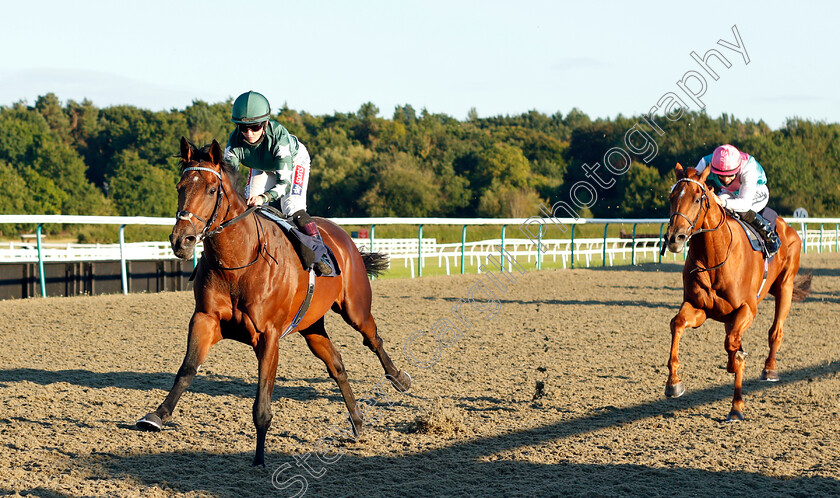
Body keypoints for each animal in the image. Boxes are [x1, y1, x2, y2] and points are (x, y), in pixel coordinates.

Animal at [138, 137, 414, 466]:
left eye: (212, 190)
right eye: (180, 186)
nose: (182, 240)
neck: (239, 261)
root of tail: (344, 237)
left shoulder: (268, 335)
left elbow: (262, 400)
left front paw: (259, 456)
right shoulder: (205, 318)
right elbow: (188, 368)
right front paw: (157, 415)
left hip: (355, 308)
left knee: (372, 339)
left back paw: (400, 379)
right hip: (311, 326)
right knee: (337, 364)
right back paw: (357, 421)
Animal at [664, 163, 808, 420]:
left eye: (698, 198)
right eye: (672, 197)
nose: (674, 237)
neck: (714, 257)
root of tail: (786, 226)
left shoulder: (747, 309)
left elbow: (733, 344)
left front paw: (736, 406)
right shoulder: (699, 308)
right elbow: (678, 323)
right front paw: (674, 383)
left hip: (786, 286)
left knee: (775, 331)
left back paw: (769, 369)